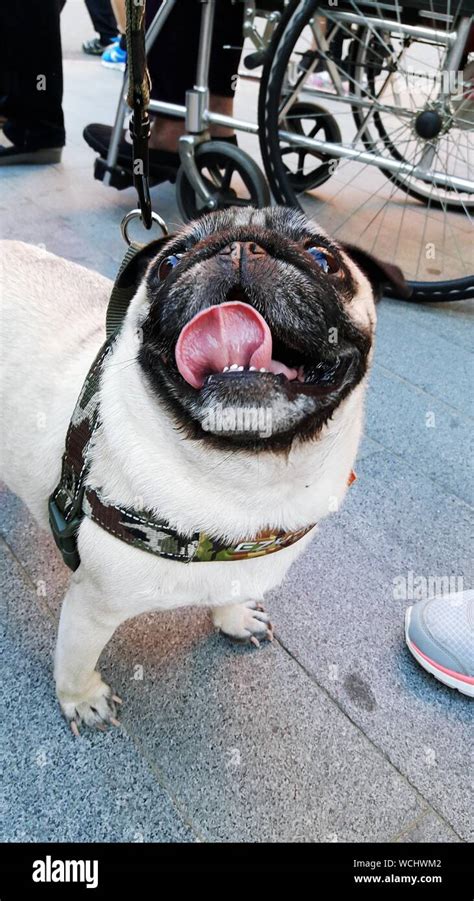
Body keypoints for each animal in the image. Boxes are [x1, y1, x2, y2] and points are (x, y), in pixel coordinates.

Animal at [0, 209, 408, 732]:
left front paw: (232, 617)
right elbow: (75, 660)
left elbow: (232, 593)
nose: (241, 247)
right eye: (168, 264)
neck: (243, 477)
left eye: (323, 259)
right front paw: (82, 699)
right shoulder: (90, 607)